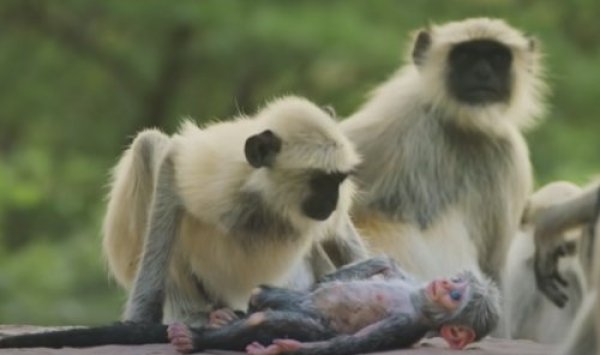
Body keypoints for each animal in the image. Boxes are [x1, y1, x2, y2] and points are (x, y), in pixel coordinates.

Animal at [101, 95, 368, 328]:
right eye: (320, 182)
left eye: (338, 180)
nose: (333, 201)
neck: (269, 202)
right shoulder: (223, 177)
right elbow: (171, 161)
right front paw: (141, 316)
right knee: (148, 144)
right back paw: (192, 314)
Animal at [340, 17, 548, 284]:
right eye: (465, 55)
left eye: (498, 58)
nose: (482, 73)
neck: (458, 127)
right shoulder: (397, 116)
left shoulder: (509, 155)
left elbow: (493, 269)